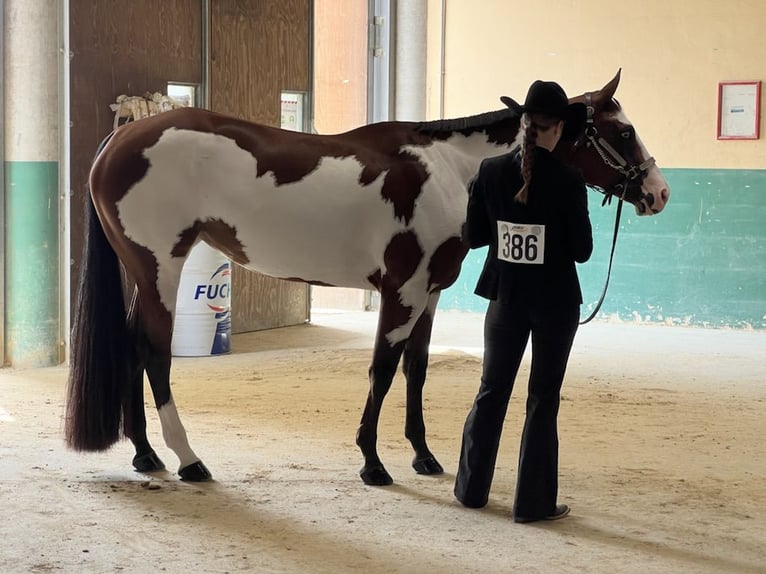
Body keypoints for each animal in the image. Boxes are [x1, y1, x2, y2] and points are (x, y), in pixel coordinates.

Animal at [63, 71, 668, 486]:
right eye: (624, 131)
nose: (658, 193)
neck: (448, 170)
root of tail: (122, 138)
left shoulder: (429, 296)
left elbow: (416, 372)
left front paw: (423, 456)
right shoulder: (402, 292)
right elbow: (382, 369)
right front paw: (373, 463)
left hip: (145, 273)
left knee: (133, 346)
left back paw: (146, 455)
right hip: (160, 267)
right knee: (153, 351)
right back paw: (188, 460)